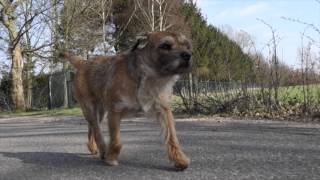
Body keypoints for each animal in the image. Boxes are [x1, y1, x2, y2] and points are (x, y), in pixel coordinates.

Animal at [60, 31, 192, 170]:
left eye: (187, 46)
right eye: (165, 46)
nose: (187, 55)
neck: (147, 76)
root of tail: (83, 62)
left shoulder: (164, 111)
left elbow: (172, 137)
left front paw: (179, 159)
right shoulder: (115, 112)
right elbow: (116, 140)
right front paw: (111, 158)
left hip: (100, 113)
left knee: (92, 129)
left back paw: (93, 147)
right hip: (90, 109)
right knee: (97, 131)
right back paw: (103, 151)